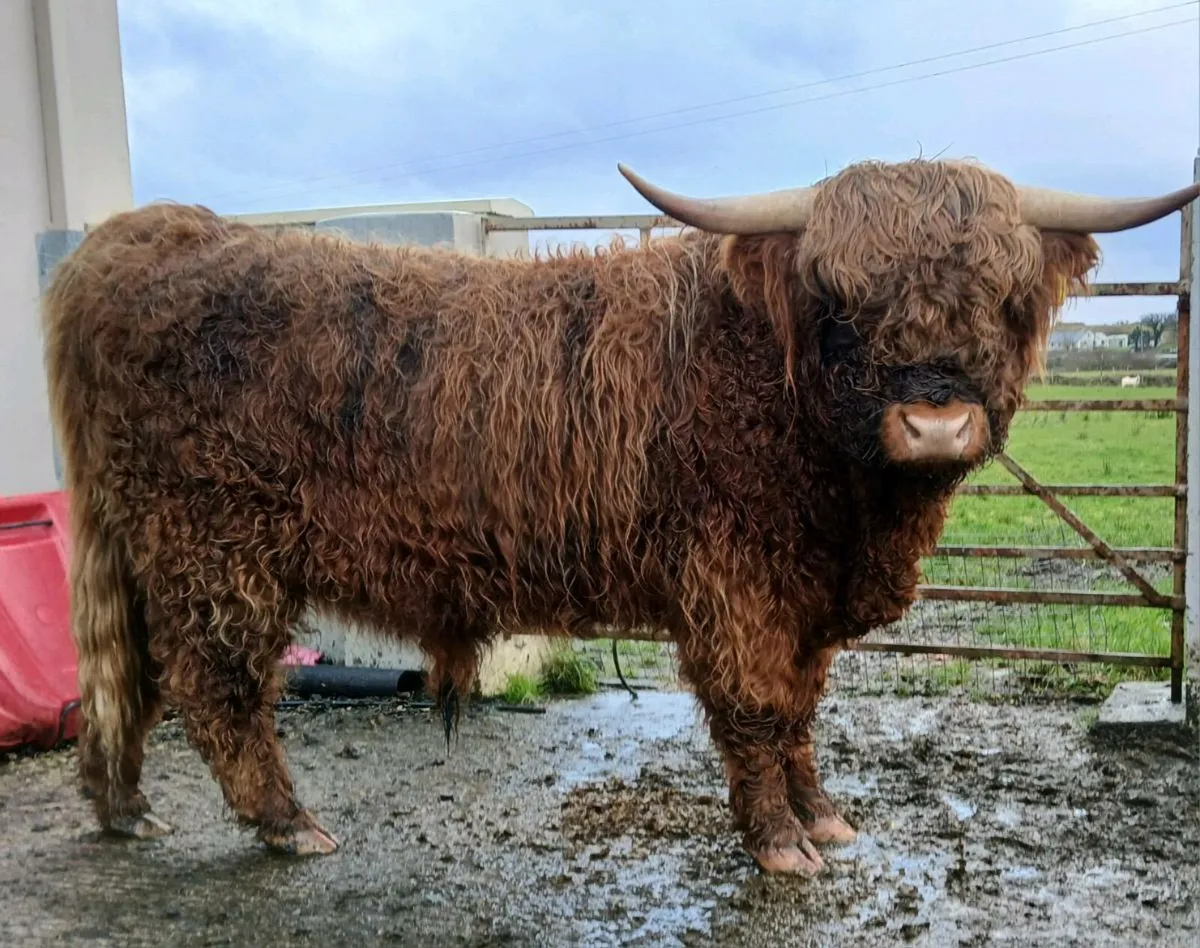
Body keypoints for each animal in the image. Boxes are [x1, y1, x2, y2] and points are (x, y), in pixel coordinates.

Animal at [41, 157, 1197, 874]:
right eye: (839, 298)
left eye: (1004, 296)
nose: (937, 421)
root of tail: (145, 235)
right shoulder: (737, 580)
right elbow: (758, 711)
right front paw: (781, 844)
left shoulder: (805, 596)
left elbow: (803, 711)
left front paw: (825, 818)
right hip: (213, 544)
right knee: (217, 684)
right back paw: (287, 825)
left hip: (145, 542)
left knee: (129, 672)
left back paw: (123, 808)